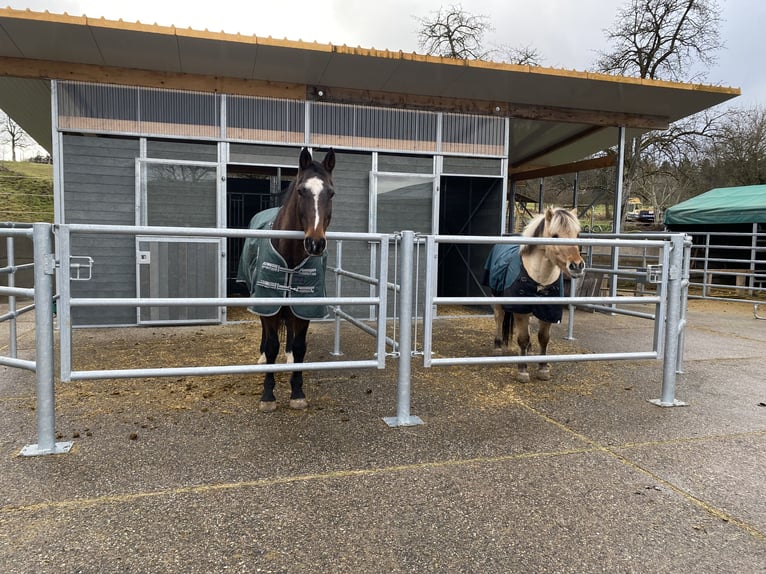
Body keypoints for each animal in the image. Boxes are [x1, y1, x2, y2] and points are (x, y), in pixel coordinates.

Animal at [240, 146, 336, 412]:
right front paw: (268, 396)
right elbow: (272, 345)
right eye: (302, 190)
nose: (315, 243)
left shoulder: (305, 307)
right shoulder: (268, 304)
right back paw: (262, 358)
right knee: (266, 336)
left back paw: (290, 357)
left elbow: (301, 347)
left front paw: (297, 393)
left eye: (331, 193)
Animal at [486, 209, 588, 384]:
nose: (577, 266)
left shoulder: (548, 311)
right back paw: (498, 347)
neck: (540, 279)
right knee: (499, 317)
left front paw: (543, 368)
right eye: (555, 236)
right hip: (497, 299)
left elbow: (543, 338)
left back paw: (529, 349)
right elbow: (522, 338)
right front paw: (522, 371)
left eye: (578, 234)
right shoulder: (520, 310)